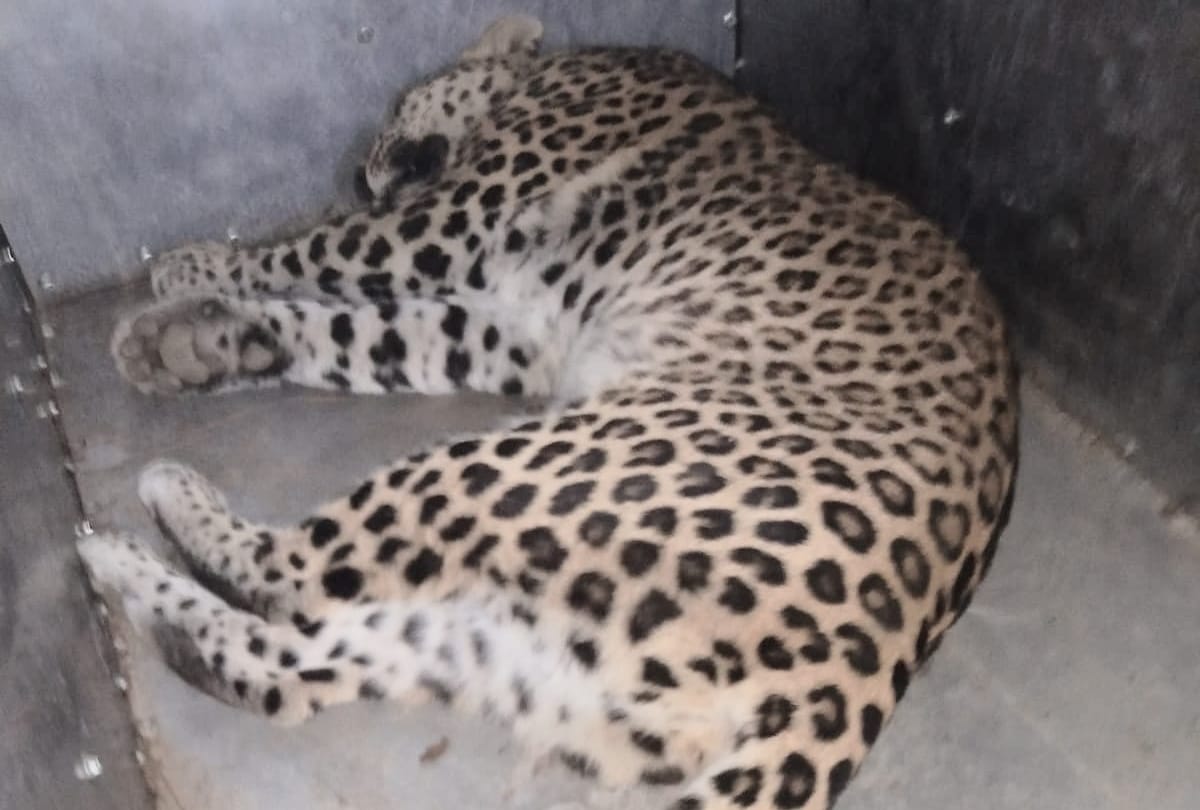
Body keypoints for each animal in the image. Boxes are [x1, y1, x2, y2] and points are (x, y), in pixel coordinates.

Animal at [79, 14, 1019, 810]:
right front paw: (192, 344)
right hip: (520, 653)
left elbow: (319, 250)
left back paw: (146, 519)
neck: (550, 68)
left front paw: (190, 272)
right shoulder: (509, 327)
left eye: (391, 109)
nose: (357, 170)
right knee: (292, 671)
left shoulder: (448, 226)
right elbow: (358, 331)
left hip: (519, 470)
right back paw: (138, 573)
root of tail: (870, 667)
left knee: (295, 578)